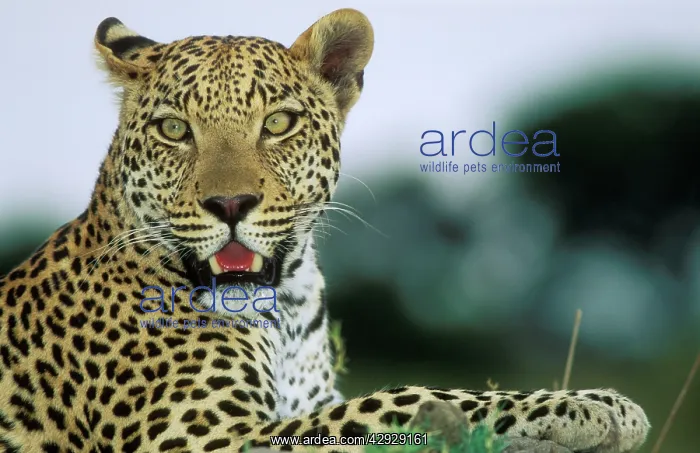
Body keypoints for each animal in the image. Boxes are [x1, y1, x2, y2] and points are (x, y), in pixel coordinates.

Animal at [0, 8, 650, 453]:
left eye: (278, 123)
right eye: (174, 129)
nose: (230, 203)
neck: (285, 307)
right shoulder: (200, 435)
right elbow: (405, 398)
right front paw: (589, 407)